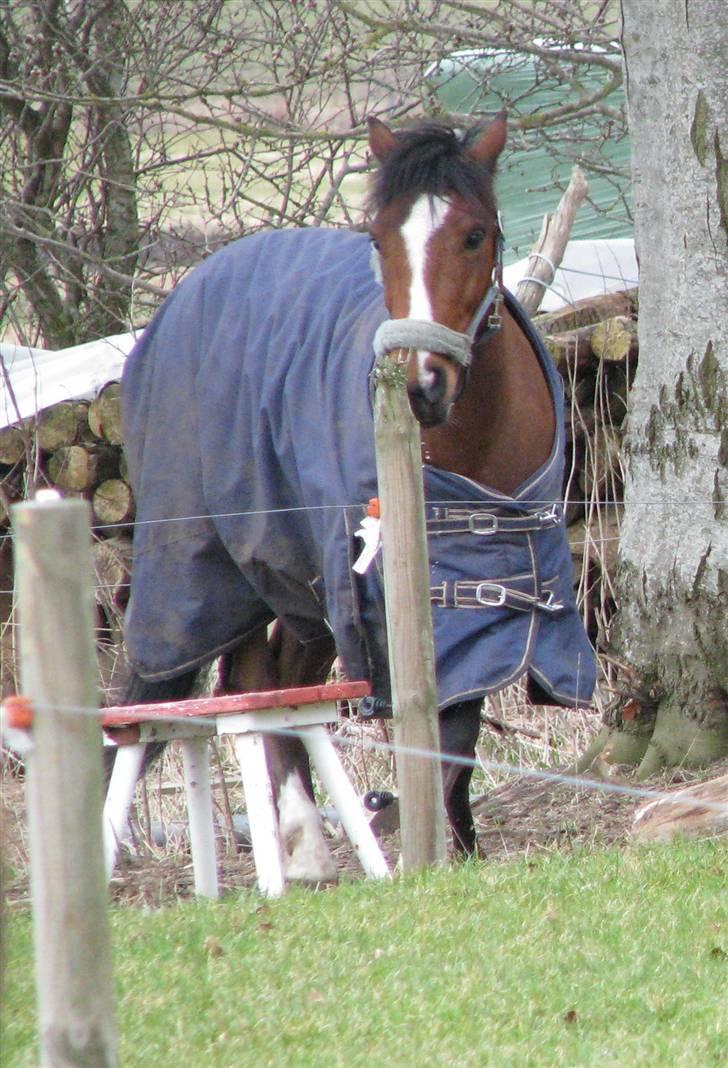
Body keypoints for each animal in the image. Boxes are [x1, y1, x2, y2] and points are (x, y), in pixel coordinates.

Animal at [119, 115, 595, 883]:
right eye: (378, 238)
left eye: (474, 234)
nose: (422, 382)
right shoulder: (393, 606)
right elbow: (436, 731)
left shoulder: (484, 602)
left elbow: (458, 734)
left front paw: (458, 846)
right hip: (210, 568)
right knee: (184, 688)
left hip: (300, 578)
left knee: (274, 681)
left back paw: (308, 849)